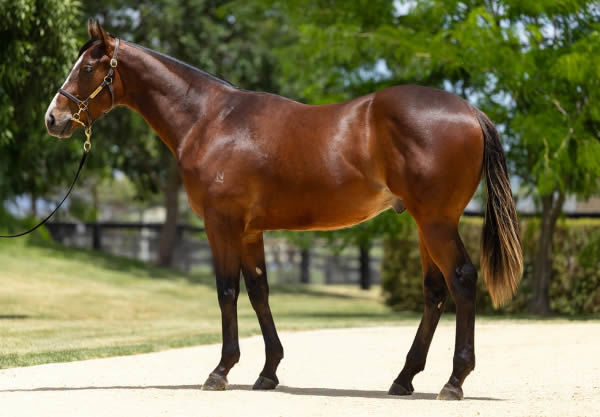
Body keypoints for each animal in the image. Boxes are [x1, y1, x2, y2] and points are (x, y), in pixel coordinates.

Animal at [44, 20, 524, 400]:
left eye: (86, 68)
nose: (53, 118)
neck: (210, 120)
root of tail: (470, 111)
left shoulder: (221, 225)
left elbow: (226, 291)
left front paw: (220, 371)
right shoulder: (250, 231)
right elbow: (259, 292)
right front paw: (268, 372)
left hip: (437, 223)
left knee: (462, 279)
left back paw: (454, 381)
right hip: (425, 226)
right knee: (434, 291)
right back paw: (404, 379)